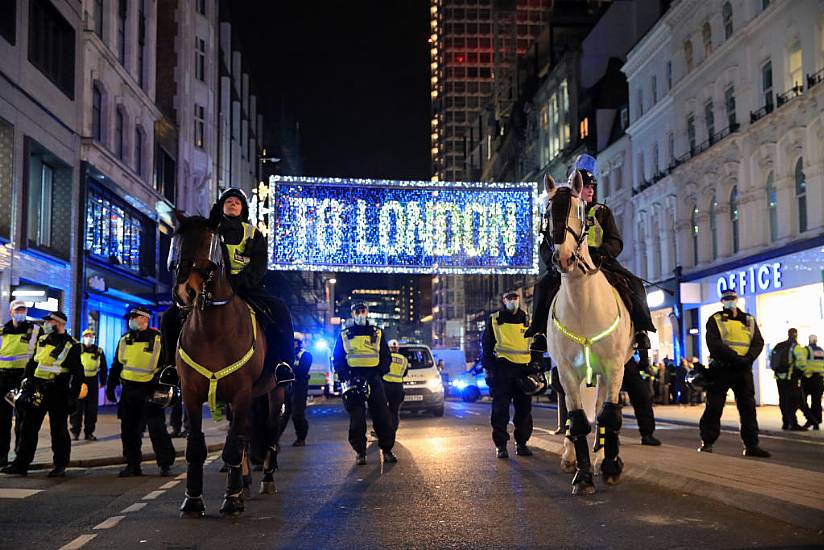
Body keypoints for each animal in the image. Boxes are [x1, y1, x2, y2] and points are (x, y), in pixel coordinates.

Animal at [171, 213, 286, 520]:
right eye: (177, 244)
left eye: (207, 243)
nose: (185, 292)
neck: (213, 330)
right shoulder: (191, 393)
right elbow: (196, 447)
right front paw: (193, 500)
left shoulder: (241, 392)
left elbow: (234, 445)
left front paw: (231, 500)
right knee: (244, 436)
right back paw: (243, 482)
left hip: (274, 392)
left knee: (269, 432)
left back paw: (265, 480)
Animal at [544, 172, 636, 496]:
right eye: (547, 213)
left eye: (580, 210)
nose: (564, 258)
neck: (583, 304)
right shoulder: (567, 371)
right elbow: (578, 420)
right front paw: (582, 475)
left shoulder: (614, 366)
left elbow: (609, 414)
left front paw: (609, 466)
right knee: (582, 413)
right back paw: (572, 456)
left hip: (605, 371)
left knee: (602, 410)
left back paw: (602, 455)